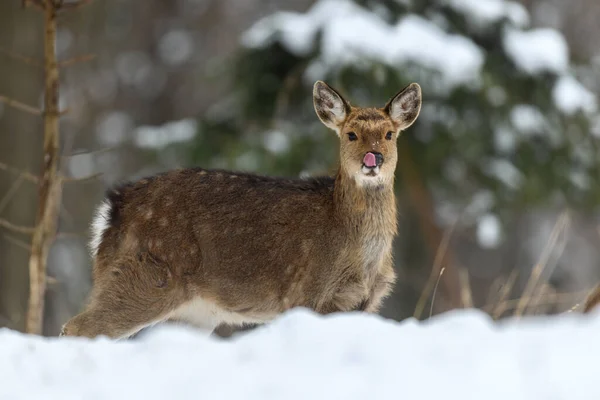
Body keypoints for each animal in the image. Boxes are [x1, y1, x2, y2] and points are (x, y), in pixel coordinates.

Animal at [61, 79, 422, 338]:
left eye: (389, 134)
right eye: (350, 134)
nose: (373, 159)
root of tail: (113, 209)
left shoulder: (364, 302)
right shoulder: (305, 293)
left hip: (191, 310)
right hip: (149, 273)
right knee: (77, 327)